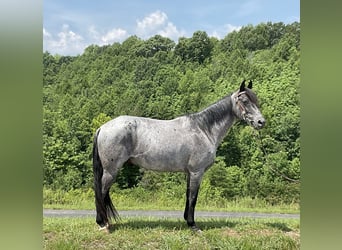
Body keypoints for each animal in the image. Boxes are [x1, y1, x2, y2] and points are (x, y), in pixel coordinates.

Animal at [92, 80, 266, 232]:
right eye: (244, 101)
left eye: (256, 101)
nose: (261, 122)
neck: (203, 129)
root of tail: (102, 127)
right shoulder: (197, 172)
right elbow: (194, 198)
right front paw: (193, 225)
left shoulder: (189, 173)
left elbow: (188, 196)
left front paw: (187, 221)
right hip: (111, 170)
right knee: (101, 192)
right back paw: (103, 224)